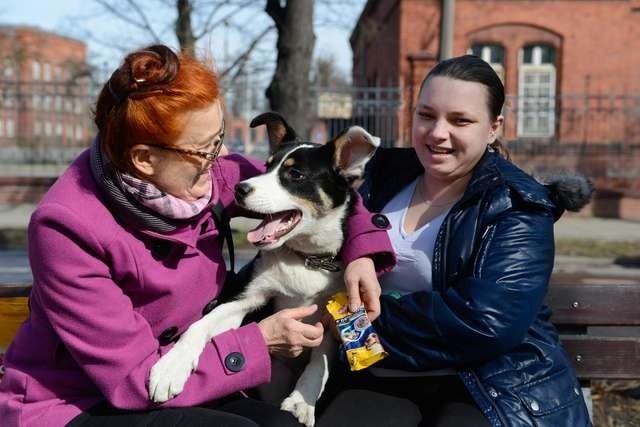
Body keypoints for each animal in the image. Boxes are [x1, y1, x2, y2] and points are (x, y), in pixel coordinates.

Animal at [150, 112, 380, 426]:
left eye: (295, 175)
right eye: (267, 165)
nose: (239, 188)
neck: (305, 259)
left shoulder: (334, 319)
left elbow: (319, 363)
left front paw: (301, 402)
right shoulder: (247, 298)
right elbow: (201, 325)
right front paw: (171, 367)